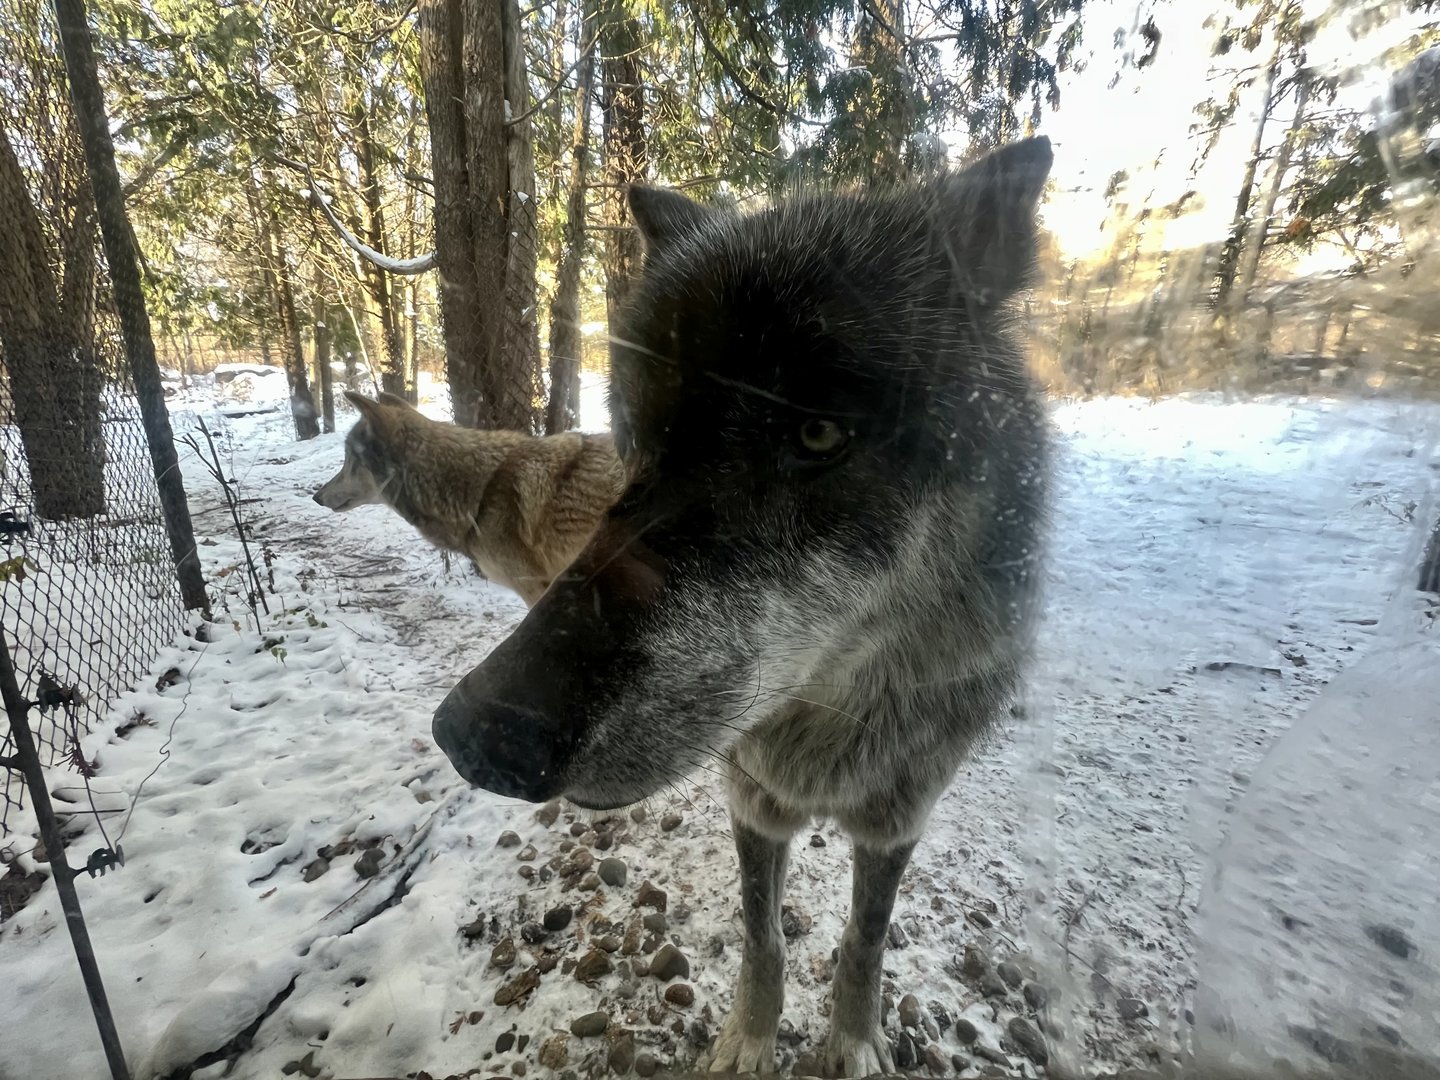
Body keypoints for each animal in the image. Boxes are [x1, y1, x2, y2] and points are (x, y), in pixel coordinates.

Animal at [432, 136, 1053, 1076]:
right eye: (638, 435)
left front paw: (853, 1042)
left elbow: (865, 942)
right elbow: (765, 937)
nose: (478, 734)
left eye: (817, 432)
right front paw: (750, 1041)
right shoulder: (752, 801)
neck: (826, 735)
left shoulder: (897, 817)